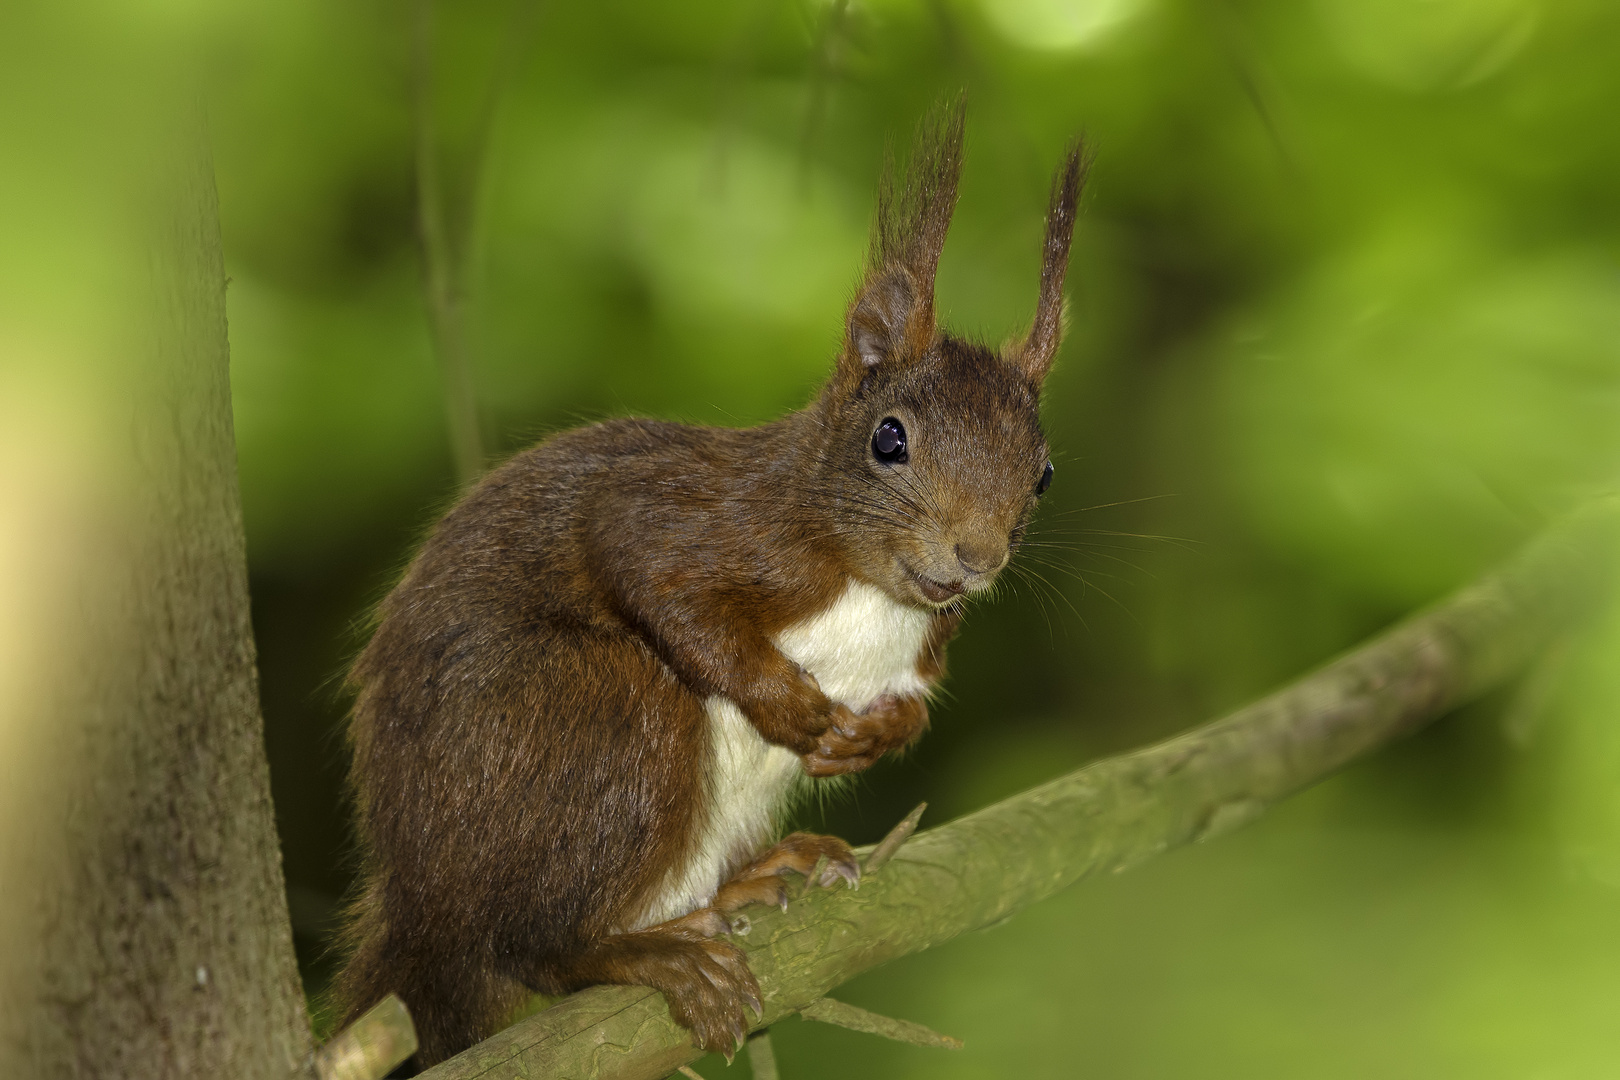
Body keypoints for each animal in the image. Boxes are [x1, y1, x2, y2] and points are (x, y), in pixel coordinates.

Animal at [330, 105, 1088, 1068]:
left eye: (1045, 474)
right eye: (889, 439)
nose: (977, 557)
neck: (872, 594)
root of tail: (424, 919)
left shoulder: (928, 640)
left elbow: (918, 699)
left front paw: (871, 735)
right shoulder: (708, 522)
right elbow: (650, 576)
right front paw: (785, 706)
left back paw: (754, 879)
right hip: (579, 714)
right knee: (530, 942)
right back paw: (647, 955)